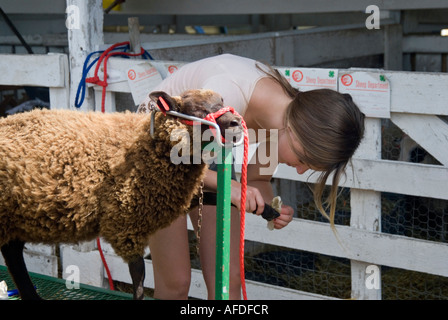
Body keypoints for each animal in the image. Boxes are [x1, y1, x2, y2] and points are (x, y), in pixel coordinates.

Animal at [0, 89, 243, 298]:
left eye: (222, 100)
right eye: (197, 109)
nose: (236, 123)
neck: (148, 147)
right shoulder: (125, 224)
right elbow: (139, 277)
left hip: (18, 219)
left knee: (12, 252)